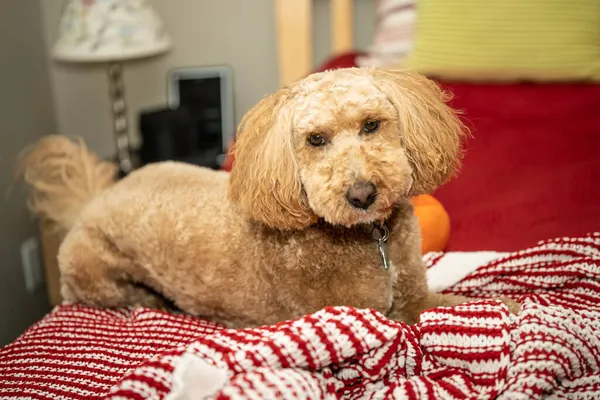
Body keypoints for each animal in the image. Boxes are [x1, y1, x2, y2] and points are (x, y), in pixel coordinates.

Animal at [17, 67, 516, 326]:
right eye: (315, 140)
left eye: (372, 125)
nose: (361, 194)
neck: (370, 239)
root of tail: (93, 200)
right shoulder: (374, 317)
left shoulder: (414, 295)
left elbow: (468, 302)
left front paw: (514, 307)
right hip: (93, 279)